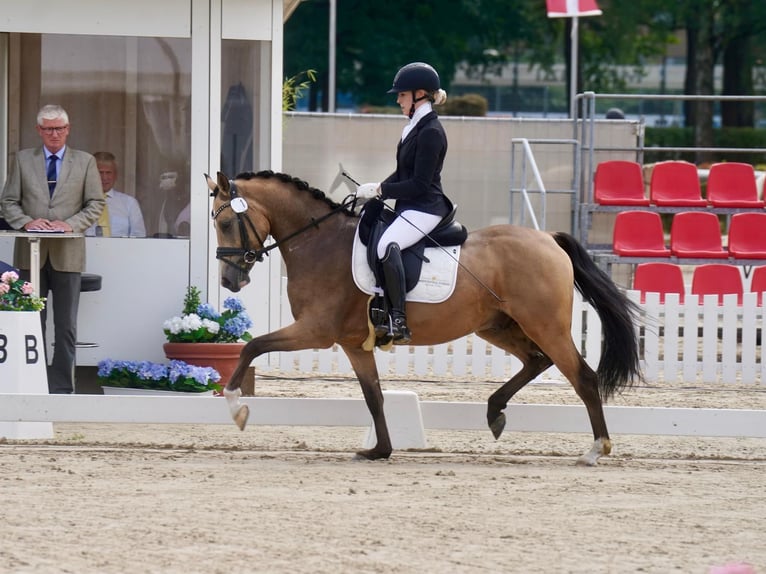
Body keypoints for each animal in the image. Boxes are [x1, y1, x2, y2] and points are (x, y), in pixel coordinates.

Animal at [208, 169, 640, 466]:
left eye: (226, 222)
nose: (230, 280)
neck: (319, 242)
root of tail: (549, 238)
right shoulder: (353, 344)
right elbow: (374, 396)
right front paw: (379, 450)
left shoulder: (315, 331)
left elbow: (252, 346)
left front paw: (236, 407)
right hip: (497, 326)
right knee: (537, 361)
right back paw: (495, 412)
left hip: (545, 325)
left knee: (582, 376)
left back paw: (595, 449)